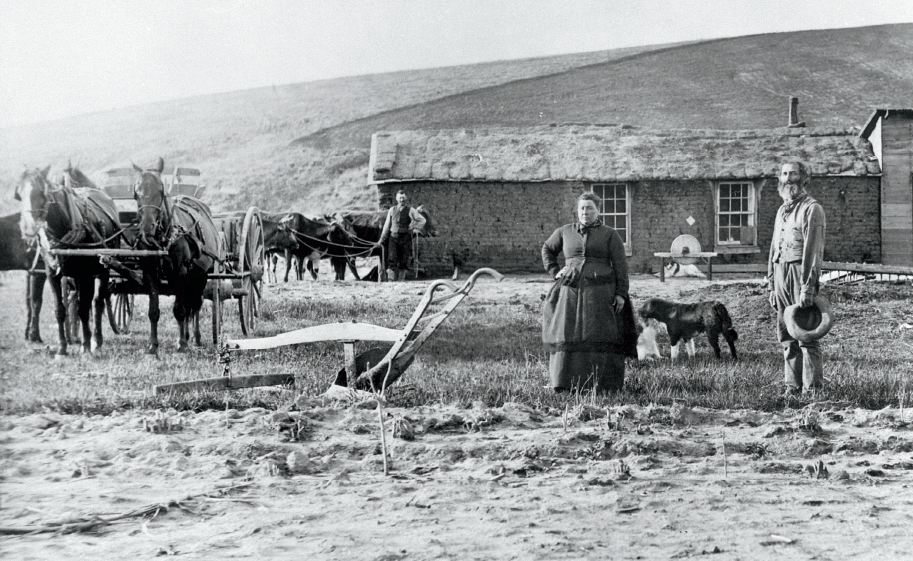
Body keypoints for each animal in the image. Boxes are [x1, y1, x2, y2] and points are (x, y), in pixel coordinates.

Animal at [15, 164, 121, 354]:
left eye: (41, 191)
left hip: (104, 268)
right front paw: (62, 348)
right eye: (19, 194)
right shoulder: (52, 274)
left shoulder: (85, 275)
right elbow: (60, 309)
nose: (28, 229)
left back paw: (96, 339)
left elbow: (84, 309)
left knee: (98, 302)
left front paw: (86, 346)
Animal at [132, 155, 221, 352]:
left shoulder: (180, 271)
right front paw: (153, 345)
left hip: (201, 274)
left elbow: (180, 310)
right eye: (136, 193)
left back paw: (194, 338)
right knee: (188, 304)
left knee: (194, 304)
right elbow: (154, 310)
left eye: (161, 190)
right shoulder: (150, 272)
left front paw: (182, 344)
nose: (147, 228)